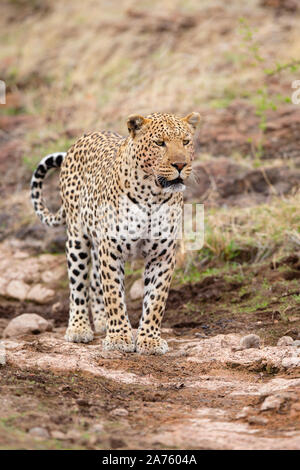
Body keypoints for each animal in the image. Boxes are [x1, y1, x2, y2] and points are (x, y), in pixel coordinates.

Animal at [30, 112, 200, 354]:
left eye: (186, 142)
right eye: (160, 143)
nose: (180, 164)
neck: (153, 196)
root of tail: (83, 138)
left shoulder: (162, 255)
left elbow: (155, 301)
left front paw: (149, 340)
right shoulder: (111, 250)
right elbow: (114, 296)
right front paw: (119, 337)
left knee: (94, 282)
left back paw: (101, 322)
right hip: (77, 240)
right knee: (78, 285)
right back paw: (79, 328)